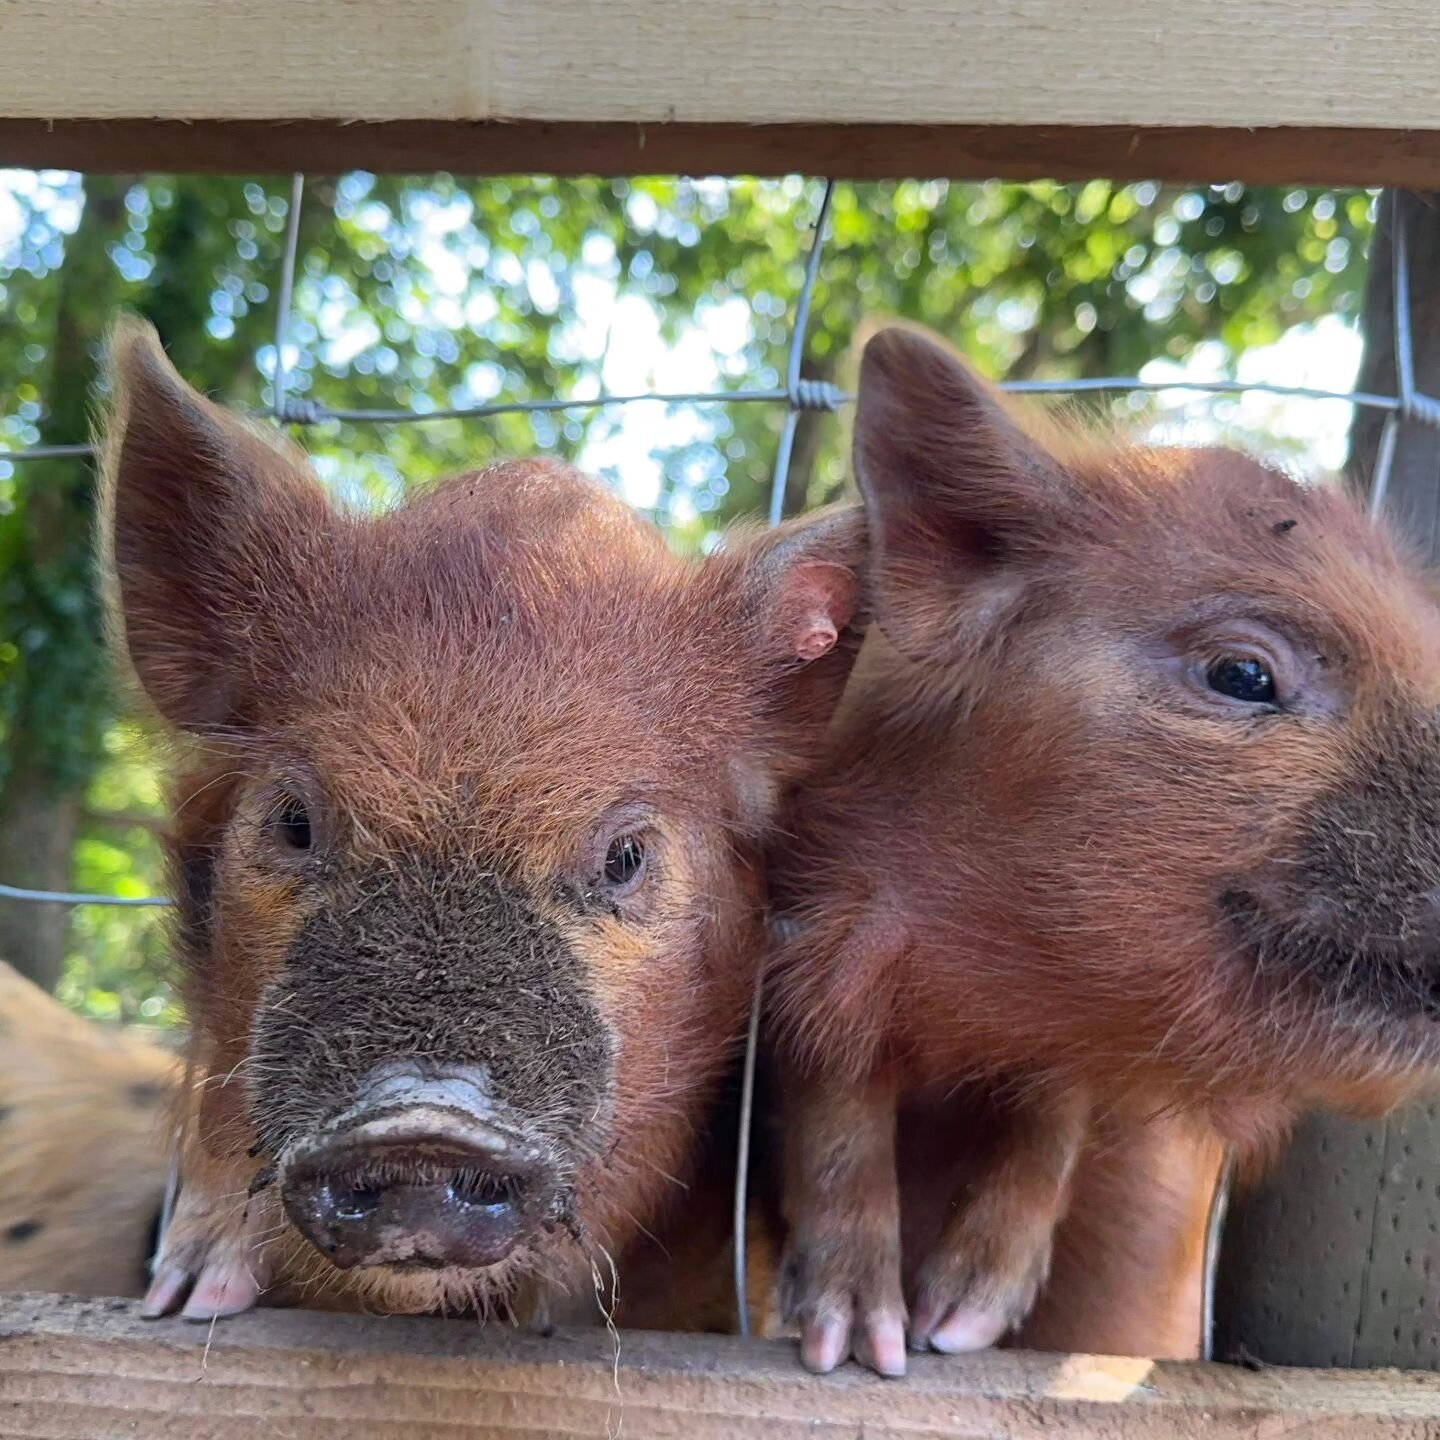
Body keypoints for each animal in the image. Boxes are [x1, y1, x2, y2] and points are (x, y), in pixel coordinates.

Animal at [771, 324, 1440, 1370]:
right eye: (1243, 674)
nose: (923, 1336)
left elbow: (1058, 1107)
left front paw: (962, 1325)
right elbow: (832, 1083)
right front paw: (864, 1347)